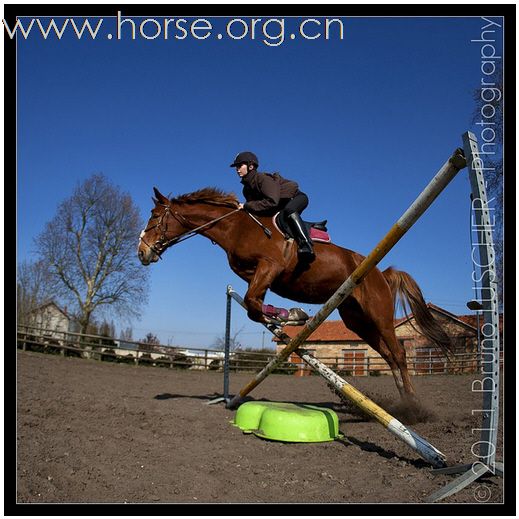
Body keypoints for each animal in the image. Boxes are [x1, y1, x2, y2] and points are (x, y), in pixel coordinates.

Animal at [137, 187, 450, 406]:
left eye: (154, 217)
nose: (142, 252)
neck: (236, 228)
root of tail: (381, 273)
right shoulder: (255, 275)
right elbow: (253, 305)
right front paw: (287, 317)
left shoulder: (269, 267)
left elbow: (252, 304)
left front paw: (290, 317)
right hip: (357, 321)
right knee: (387, 355)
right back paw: (403, 403)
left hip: (379, 315)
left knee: (398, 353)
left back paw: (414, 404)